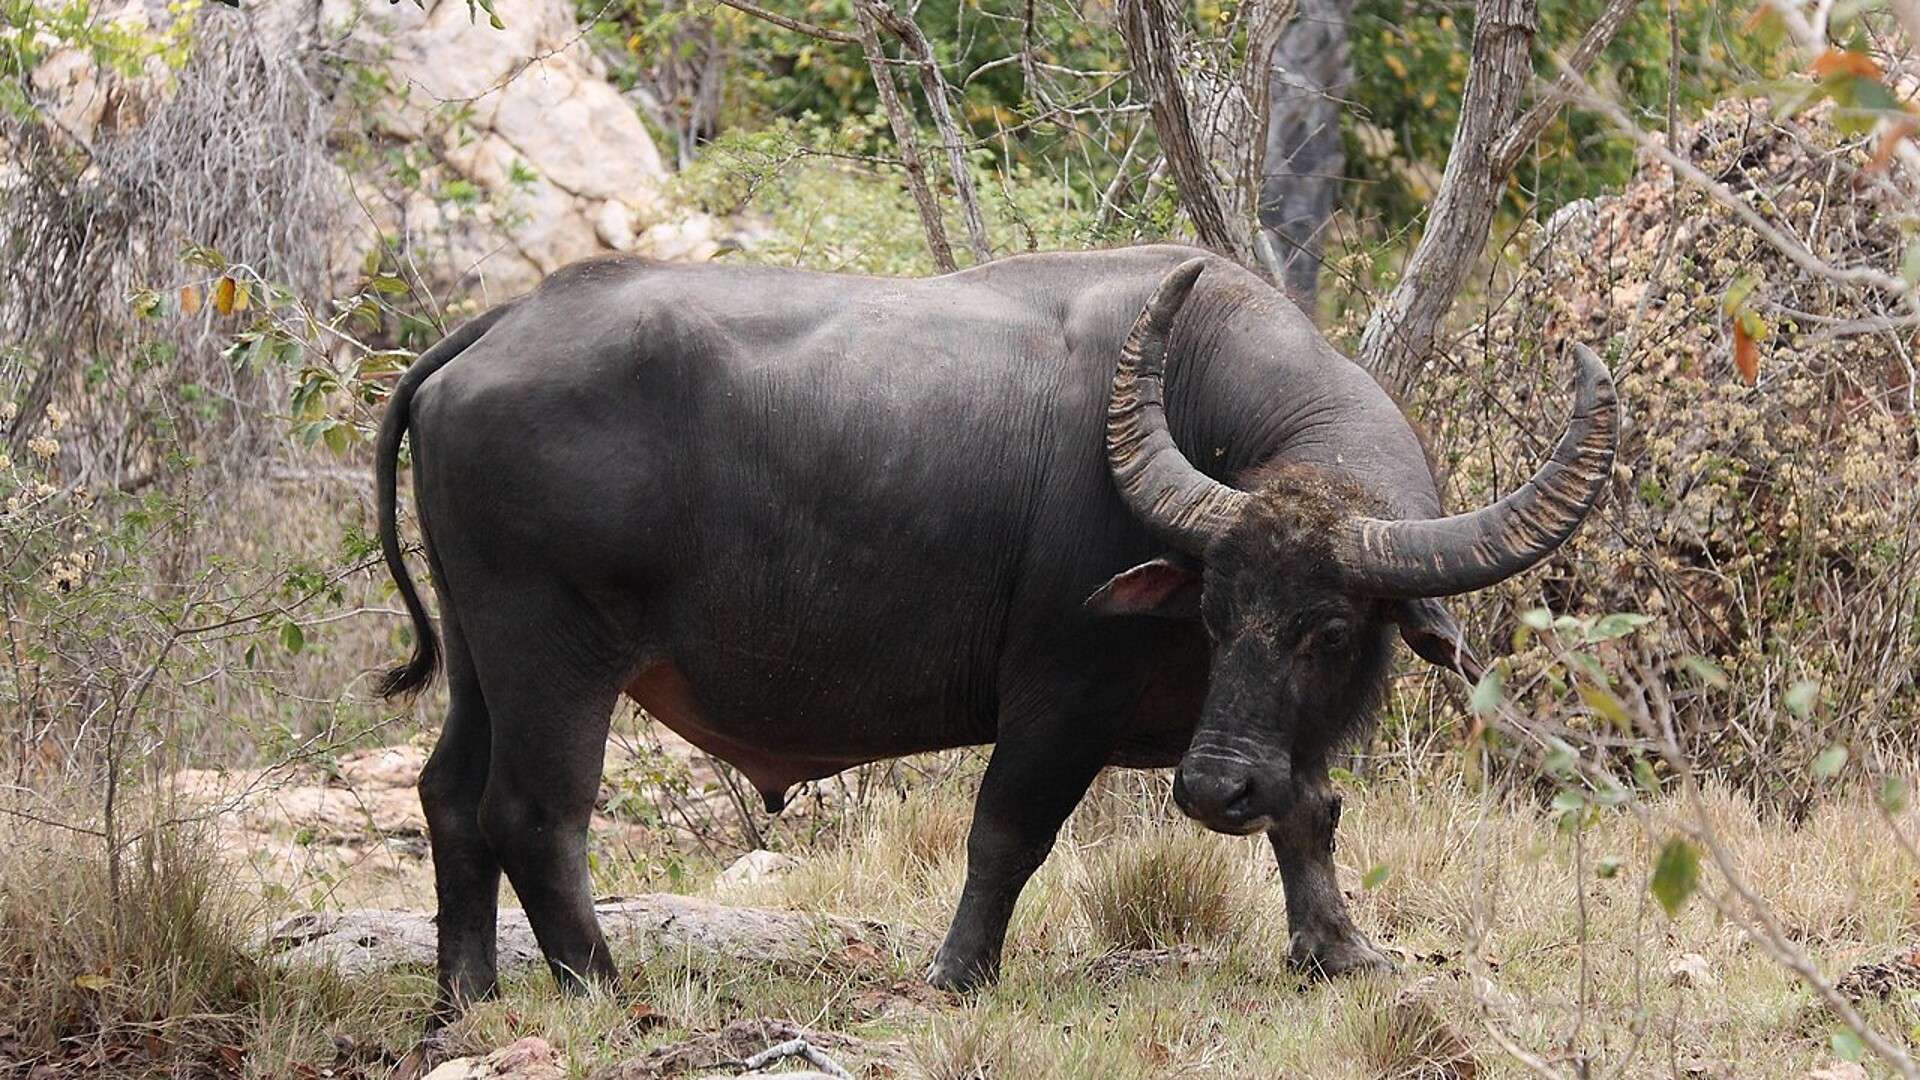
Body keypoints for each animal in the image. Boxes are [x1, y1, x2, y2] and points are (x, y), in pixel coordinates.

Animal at [375, 245, 1617, 1016]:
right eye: (1214, 614)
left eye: (1324, 632)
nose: (1212, 789)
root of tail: (497, 329)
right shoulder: (1059, 699)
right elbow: (1008, 832)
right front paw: (959, 972)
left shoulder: (1277, 732)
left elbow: (1309, 812)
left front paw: (1340, 949)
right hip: (553, 655)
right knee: (535, 815)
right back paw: (599, 987)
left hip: (484, 659)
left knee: (450, 797)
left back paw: (467, 992)